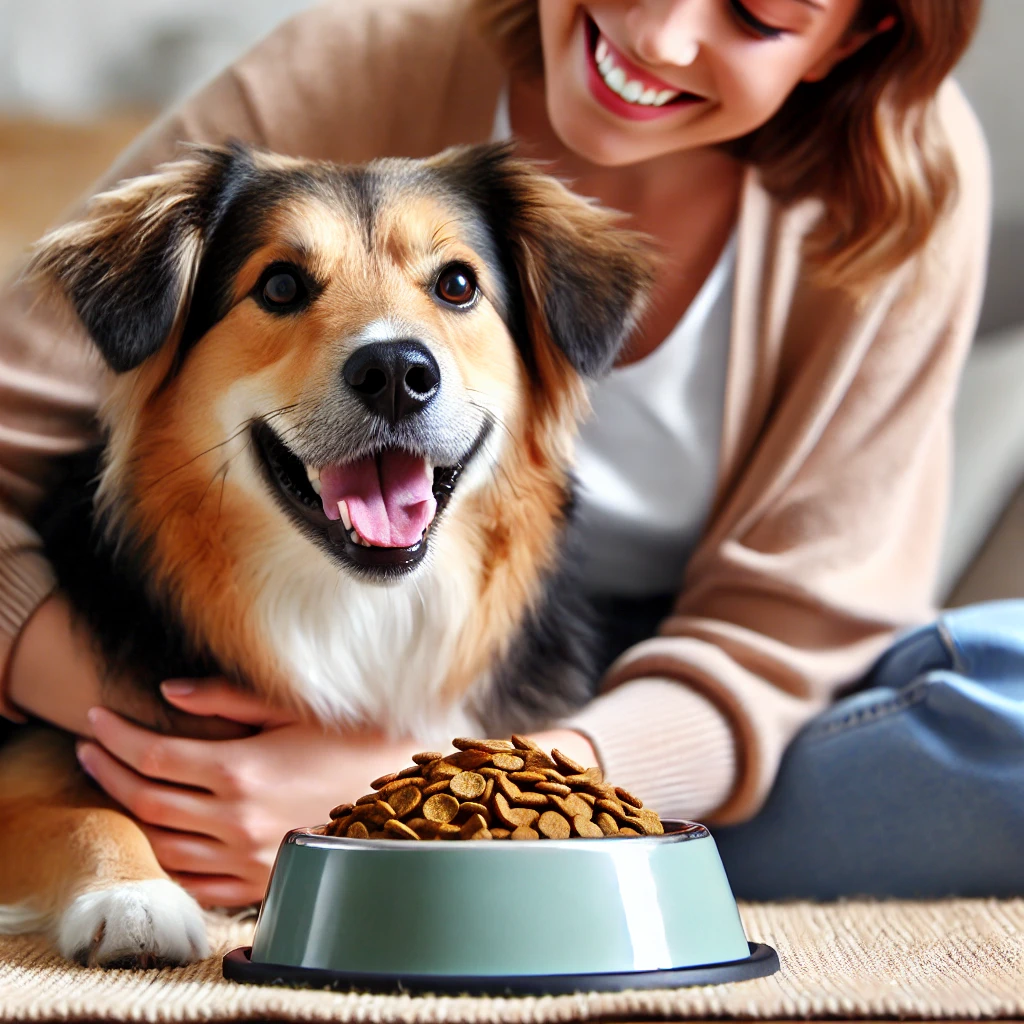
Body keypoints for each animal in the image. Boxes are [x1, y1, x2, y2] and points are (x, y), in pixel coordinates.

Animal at [0, 142, 655, 966]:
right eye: (280, 285)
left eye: (458, 284)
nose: (398, 373)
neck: (349, 604)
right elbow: (87, 815)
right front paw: (133, 897)